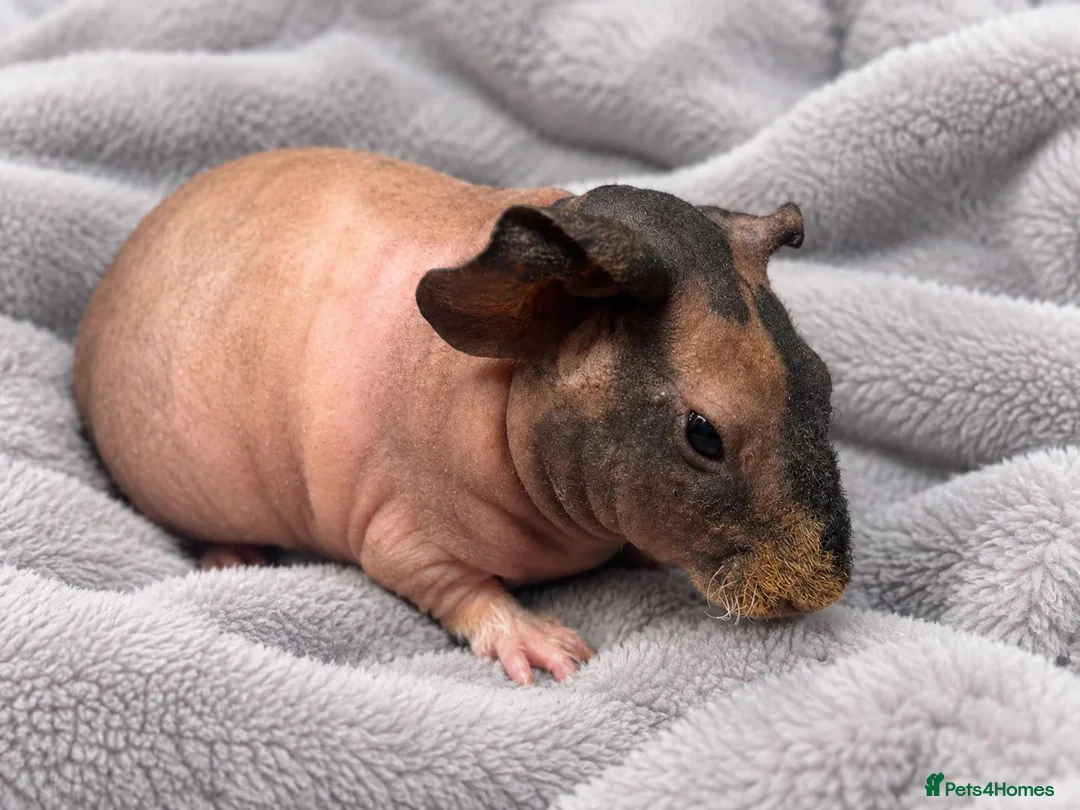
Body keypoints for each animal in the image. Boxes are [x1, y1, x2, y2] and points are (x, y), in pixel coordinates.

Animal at [73, 148, 851, 685]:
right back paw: (233, 556)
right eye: (703, 436)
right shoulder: (400, 524)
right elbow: (446, 582)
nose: (821, 588)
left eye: (822, 379)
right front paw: (537, 640)